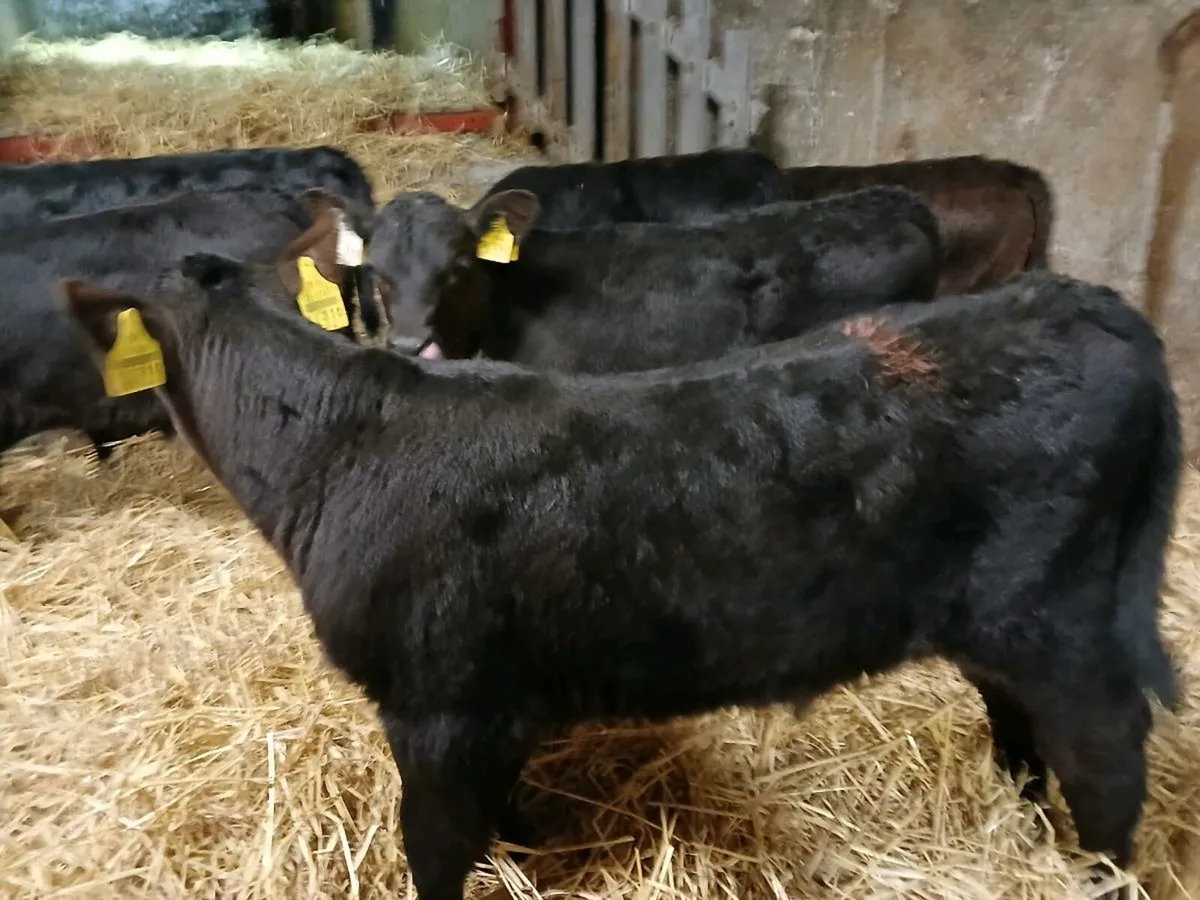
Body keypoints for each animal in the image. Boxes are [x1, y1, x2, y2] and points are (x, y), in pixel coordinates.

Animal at [61, 258, 1180, 900]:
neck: (334, 447)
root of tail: (1082, 299)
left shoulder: (434, 702)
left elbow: (434, 849)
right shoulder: (494, 701)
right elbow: (497, 817)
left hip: (1063, 618)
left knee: (1107, 754)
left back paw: (1094, 871)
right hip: (995, 622)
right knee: (1018, 723)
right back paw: (1022, 824)